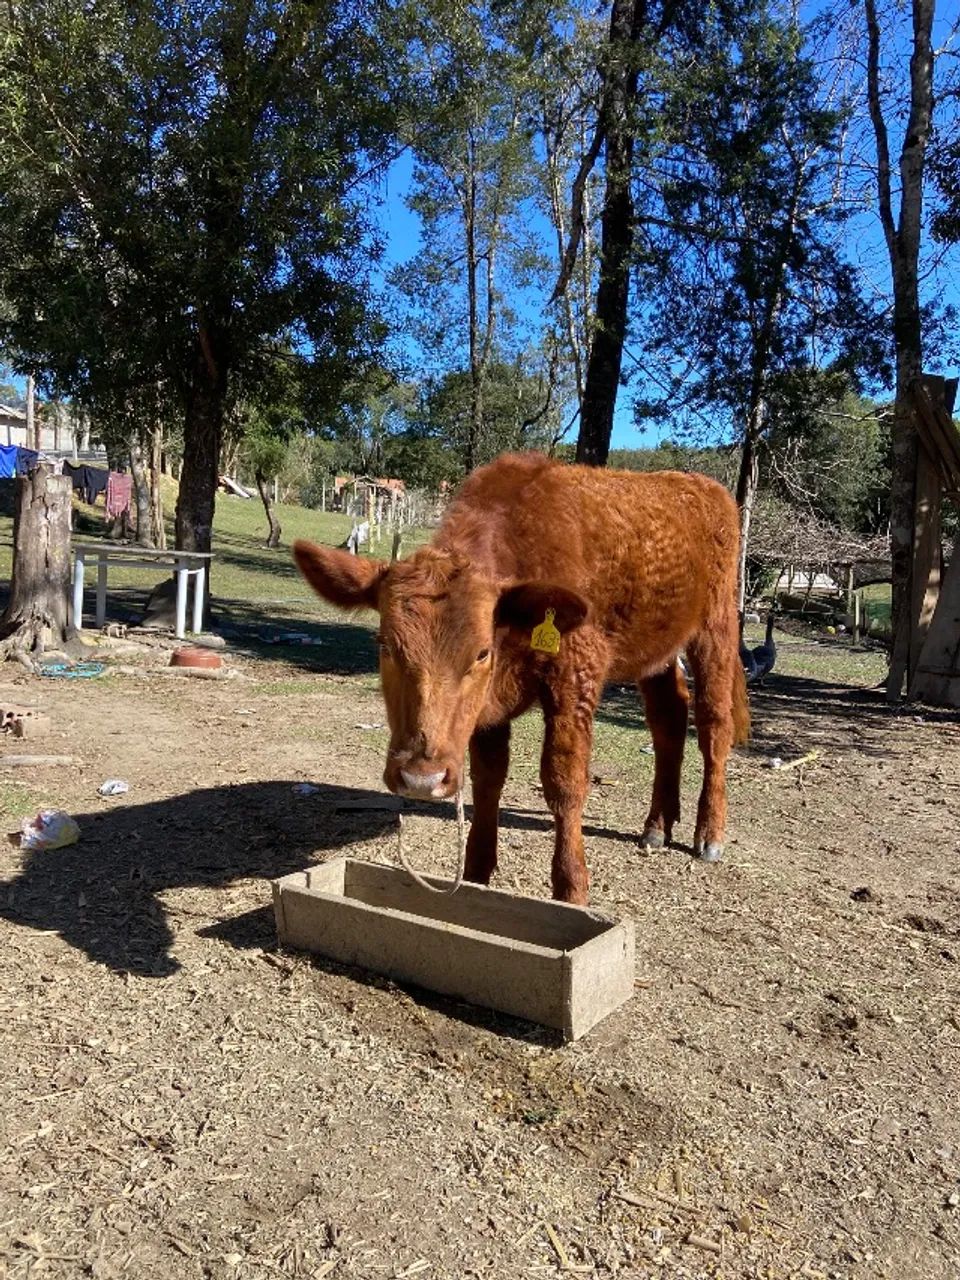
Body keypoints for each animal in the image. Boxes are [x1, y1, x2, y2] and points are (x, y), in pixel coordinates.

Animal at [294, 452, 749, 905]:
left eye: (481, 652)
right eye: (385, 645)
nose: (421, 779)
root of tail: (699, 484)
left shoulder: (575, 677)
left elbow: (565, 782)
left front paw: (571, 888)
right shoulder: (487, 710)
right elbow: (488, 780)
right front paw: (476, 875)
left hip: (717, 629)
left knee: (713, 725)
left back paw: (709, 833)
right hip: (657, 650)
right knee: (669, 717)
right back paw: (657, 824)